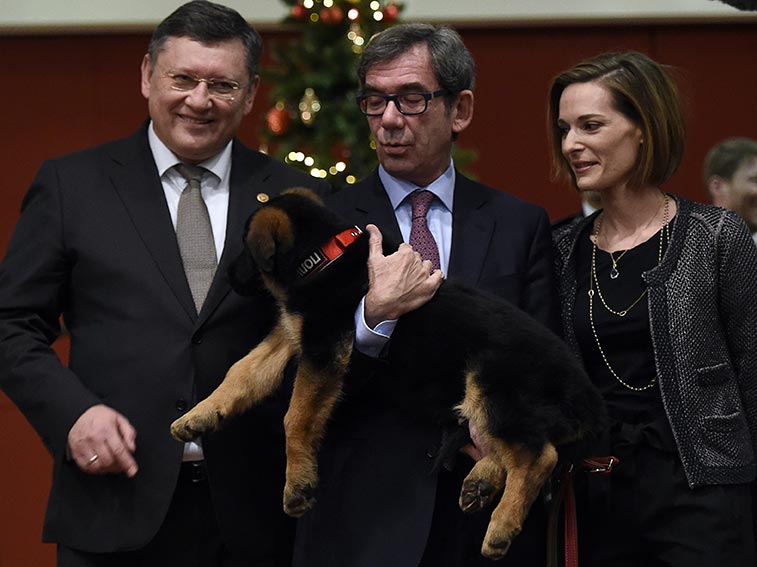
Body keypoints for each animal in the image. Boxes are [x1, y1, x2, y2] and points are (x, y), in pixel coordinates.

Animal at [170, 190, 604, 560]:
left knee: (537, 456)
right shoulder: (290, 336)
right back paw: (481, 483)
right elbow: (240, 374)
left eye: (245, 248)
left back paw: (501, 527)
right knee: (511, 445)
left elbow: (295, 418)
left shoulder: (324, 349)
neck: (321, 256)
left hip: (493, 385)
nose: (228, 277)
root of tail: (586, 395)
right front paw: (198, 416)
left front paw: (297, 485)